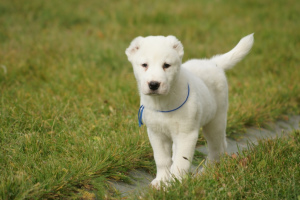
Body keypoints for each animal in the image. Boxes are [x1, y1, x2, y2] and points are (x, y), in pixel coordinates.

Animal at [124, 33, 253, 187]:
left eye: (166, 65)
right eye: (144, 65)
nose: (154, 84)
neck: (163, 103)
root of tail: (212, 63)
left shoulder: (186, 134)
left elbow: (181, 161)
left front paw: (176, 183)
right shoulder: (156, 134)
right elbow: (162, 160)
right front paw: (161, 181)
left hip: (215, 122)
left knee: (217, 148)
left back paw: (207, 172)